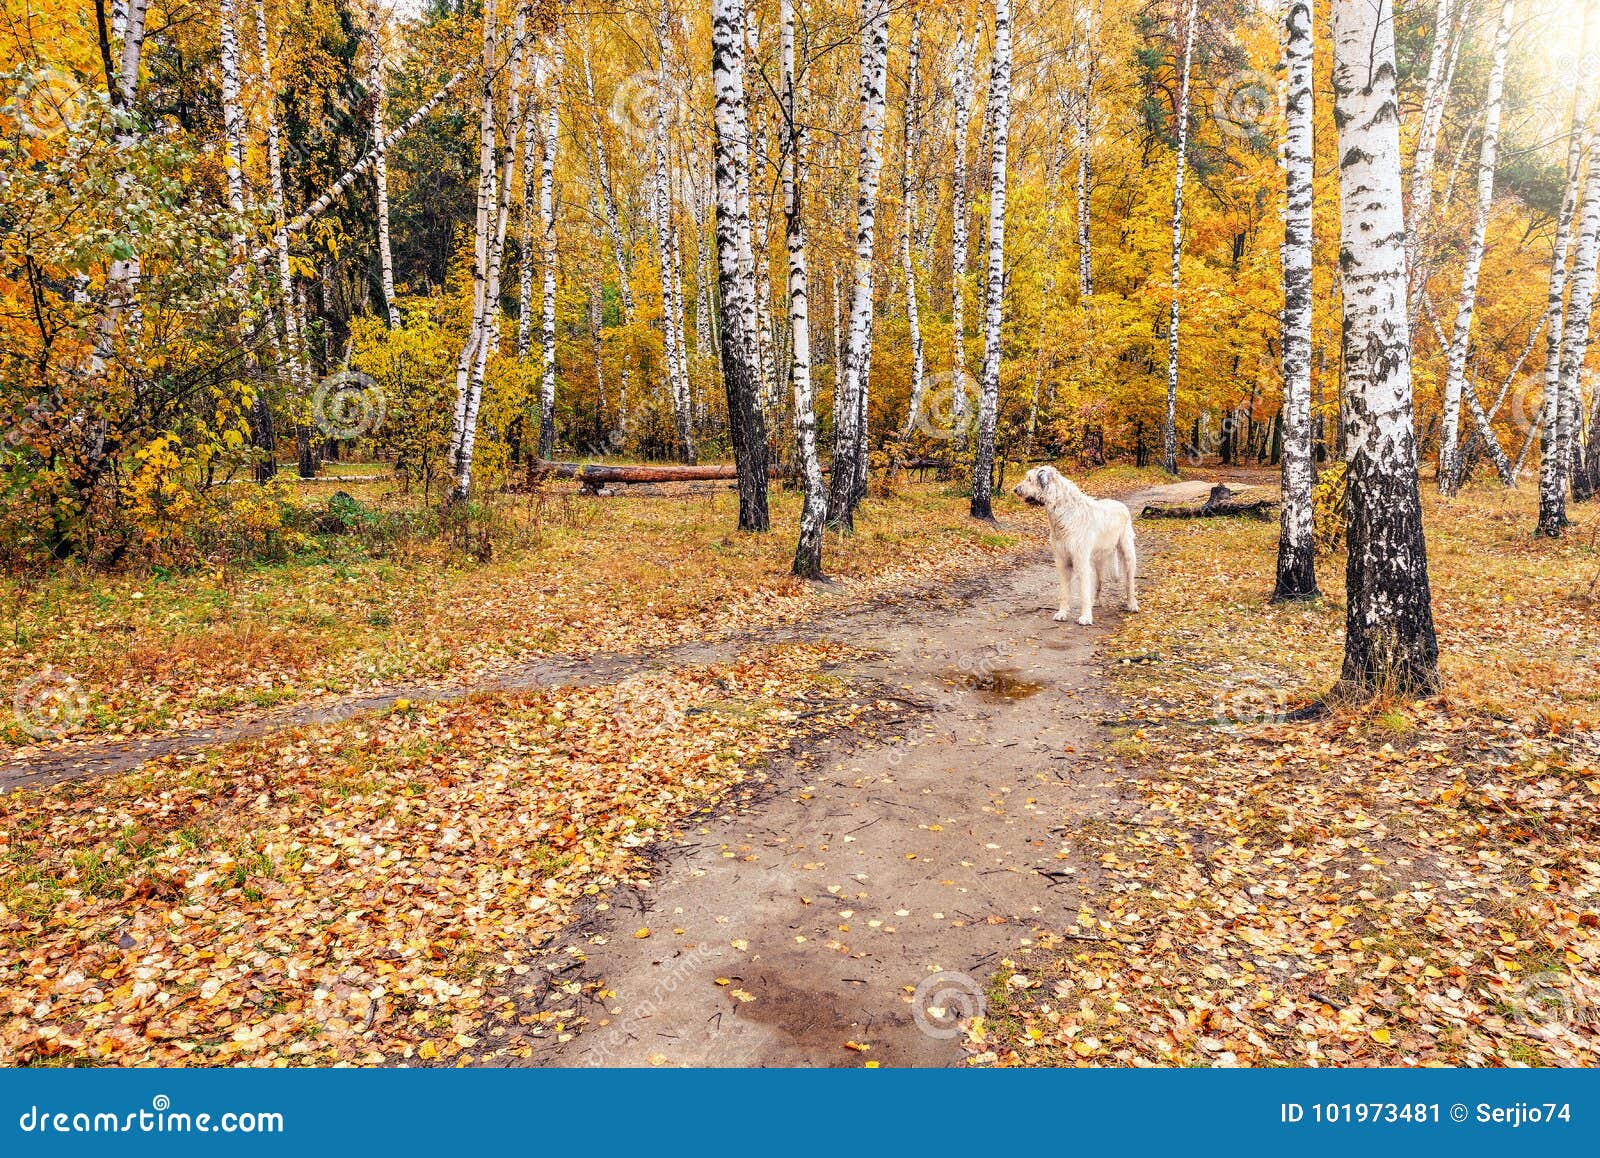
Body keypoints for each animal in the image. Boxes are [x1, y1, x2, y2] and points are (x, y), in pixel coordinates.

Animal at [1011, 467, 1139, 623]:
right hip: (1098, 558)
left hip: (1127, 552)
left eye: (1029, 479)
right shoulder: (1062, 561)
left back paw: (1132, 604)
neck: (1063, 513)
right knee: (1099, 580)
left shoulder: (1081, 560)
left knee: (1129, 581)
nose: (1015, 489)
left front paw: (1085, 617)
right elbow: (1064, 591)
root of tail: (1121, 504)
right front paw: (1062, 613)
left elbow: (1083, 590)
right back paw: (1095, 602)